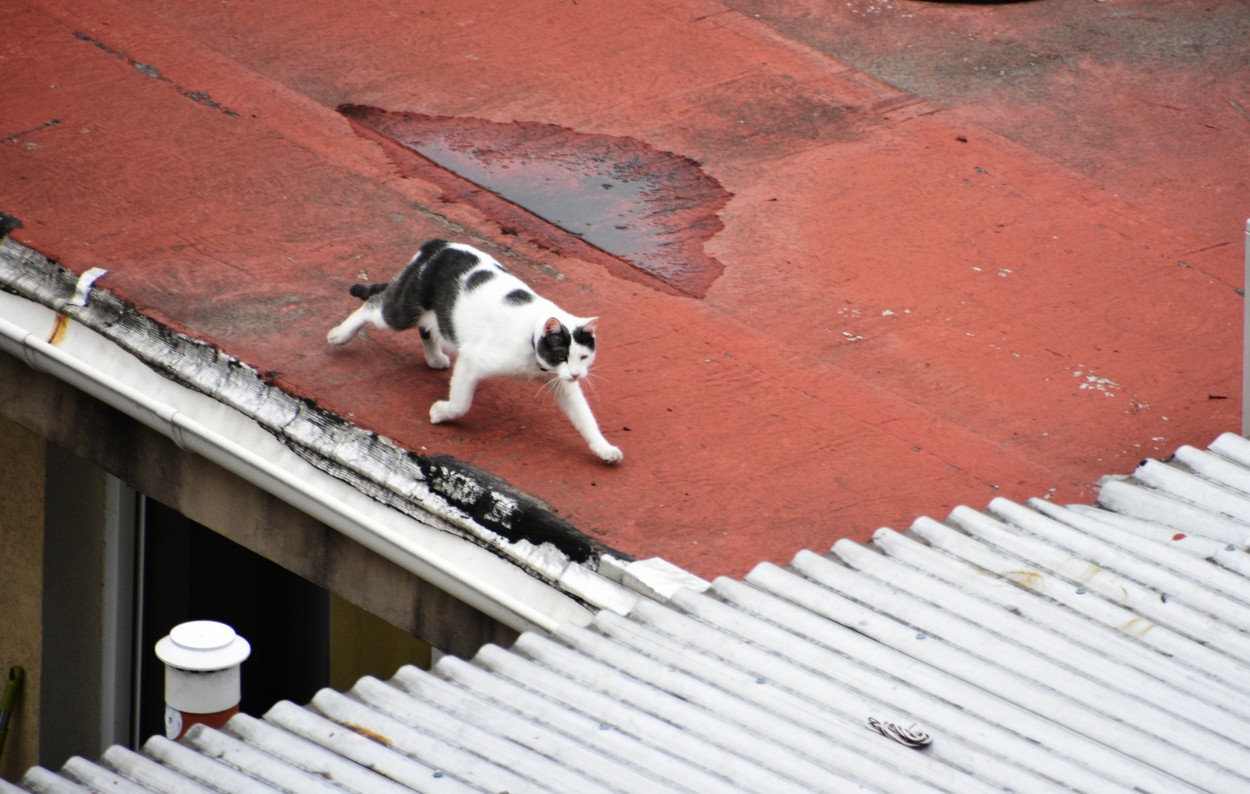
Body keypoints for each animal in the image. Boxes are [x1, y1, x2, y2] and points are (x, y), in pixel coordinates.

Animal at [325, 242, 622, 465]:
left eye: (583, 357)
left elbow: (585, 418)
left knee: (427, 328)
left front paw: (604, 449)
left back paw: (435, 358)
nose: (577, 374)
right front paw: (441, 413)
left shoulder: (562, 384)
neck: (532, 344)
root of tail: (439, 244)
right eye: (561, 356)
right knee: (373, 305)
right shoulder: (472, 359)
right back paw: (340, 334)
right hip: (401, 311)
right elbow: (461, 404)